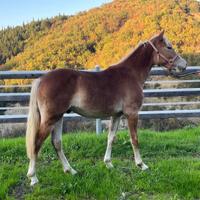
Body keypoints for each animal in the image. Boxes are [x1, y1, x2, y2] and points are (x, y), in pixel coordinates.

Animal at [25, 30, 187, 186]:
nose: (183, 64)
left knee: (57, 142)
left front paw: (108, 163)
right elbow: (134, 139)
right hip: (50, 119)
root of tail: (41, 79)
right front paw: (141, 165)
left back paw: (70, 170)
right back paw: (33, 177)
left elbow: (111, 138)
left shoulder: (117, 115)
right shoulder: (132, 113)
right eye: (169, 47)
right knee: (36, 143)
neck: (130, 74)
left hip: (59, 117)